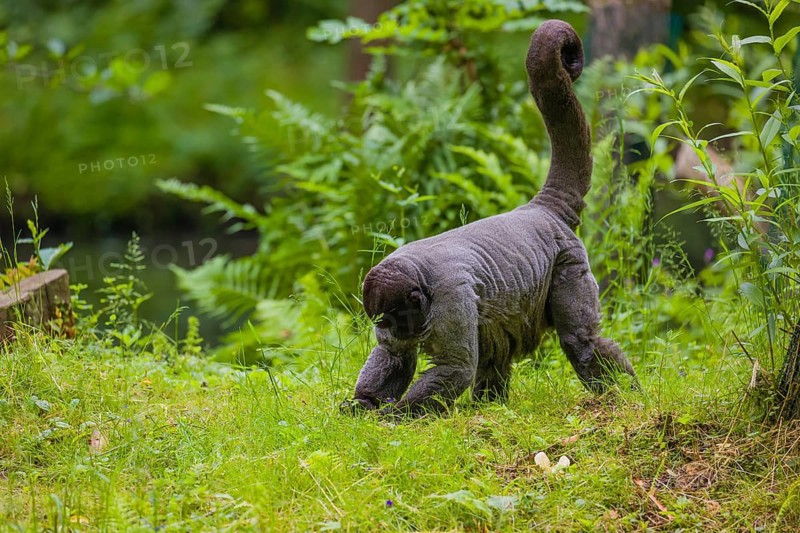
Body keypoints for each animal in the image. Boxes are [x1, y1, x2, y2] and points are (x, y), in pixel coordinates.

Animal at [344, 20, 637, 418]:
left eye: (397, 316)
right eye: (383, 321)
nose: (391, 328)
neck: (421, 281)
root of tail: (540, 209)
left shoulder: (451, 299)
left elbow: (456, 368)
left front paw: (393, 414)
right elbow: (394, 355)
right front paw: (363, 403)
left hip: (569, 261)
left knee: (582, 340)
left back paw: (626, 396)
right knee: (496, 348)